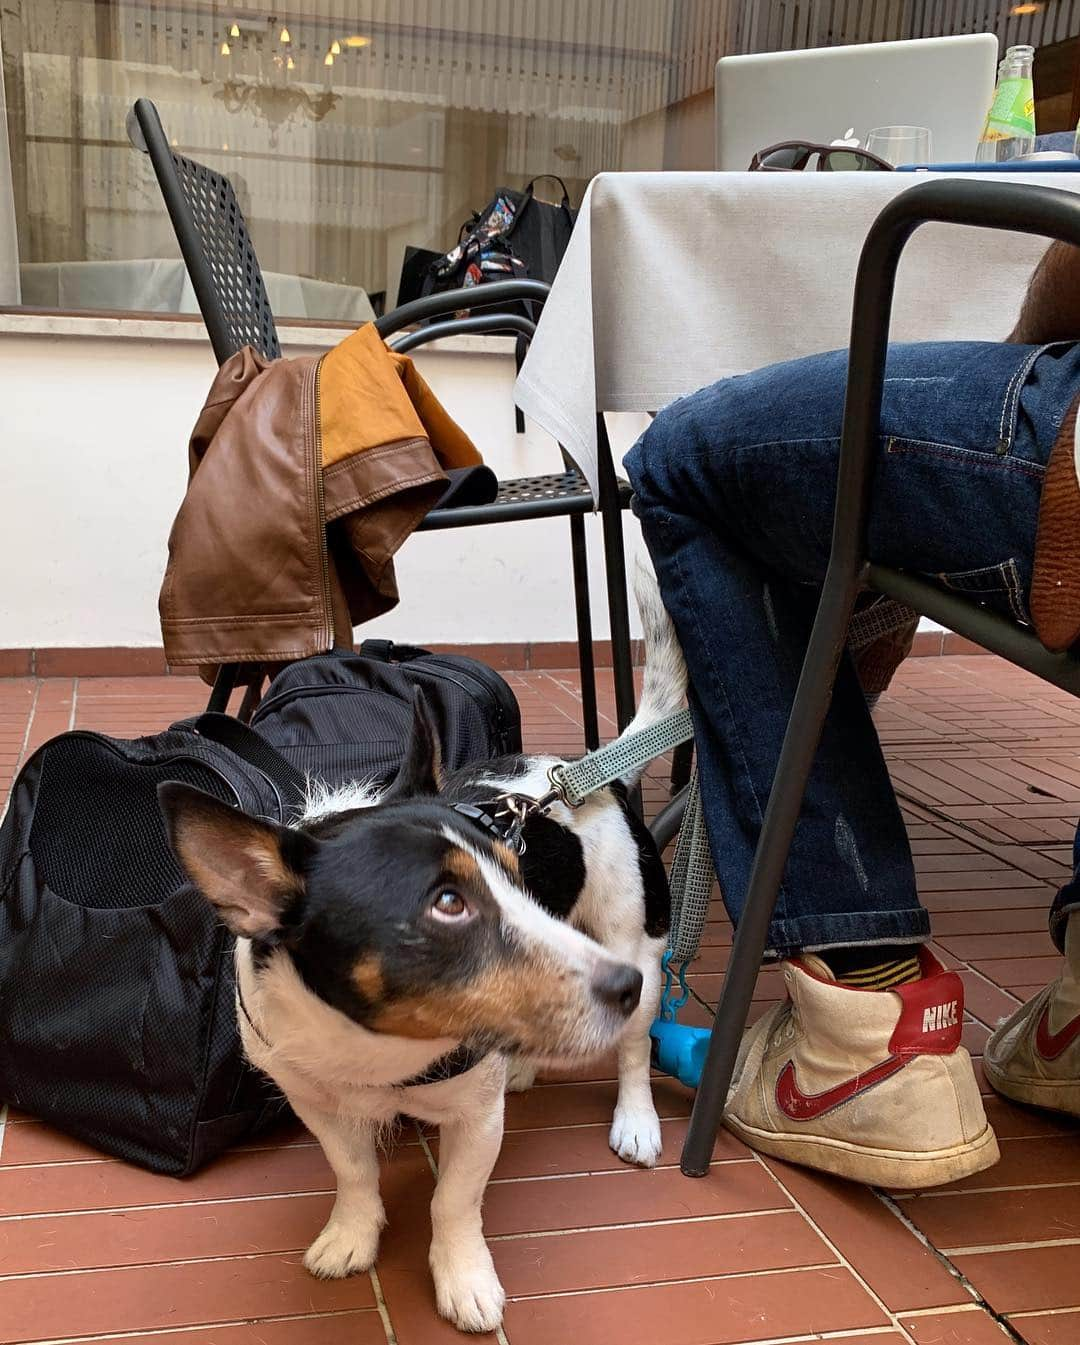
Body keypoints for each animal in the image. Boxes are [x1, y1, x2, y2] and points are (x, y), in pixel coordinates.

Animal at [158, 559, 683, 1334]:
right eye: (448, 904)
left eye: (518, 875)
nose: (620, 987)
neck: (378, 1048)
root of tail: (589, 771)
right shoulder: (315, 1099)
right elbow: (353, 1171)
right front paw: (352, 1233)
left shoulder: (475, 1118)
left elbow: (453, 1201)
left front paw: (463, 1277)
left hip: (636, 937)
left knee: (635, 1049)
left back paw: (635, 1118)